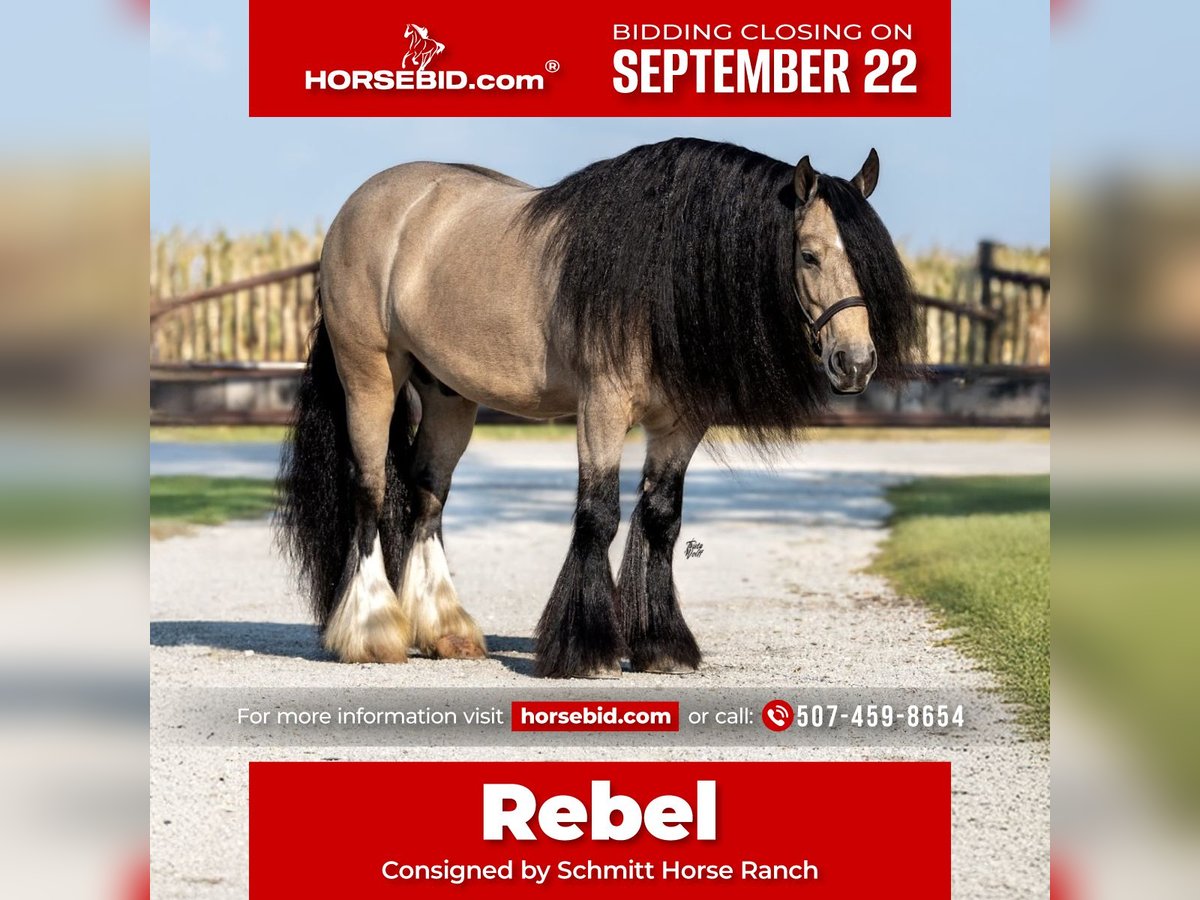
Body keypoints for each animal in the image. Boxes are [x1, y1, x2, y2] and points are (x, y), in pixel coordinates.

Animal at [278, 138, 920, 678]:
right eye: (809, 255)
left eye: (871, 258)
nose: (855, 362)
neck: (660, 272)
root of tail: (362, 207)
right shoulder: (602, 408)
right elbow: (599, 515)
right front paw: (585, 650)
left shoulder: (681, 423)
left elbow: (661, 519)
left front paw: (661, 646)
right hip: (370, 379)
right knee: (369, 493)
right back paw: (371, 633)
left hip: (447, 397)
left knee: (426, 496)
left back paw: (445, 631)